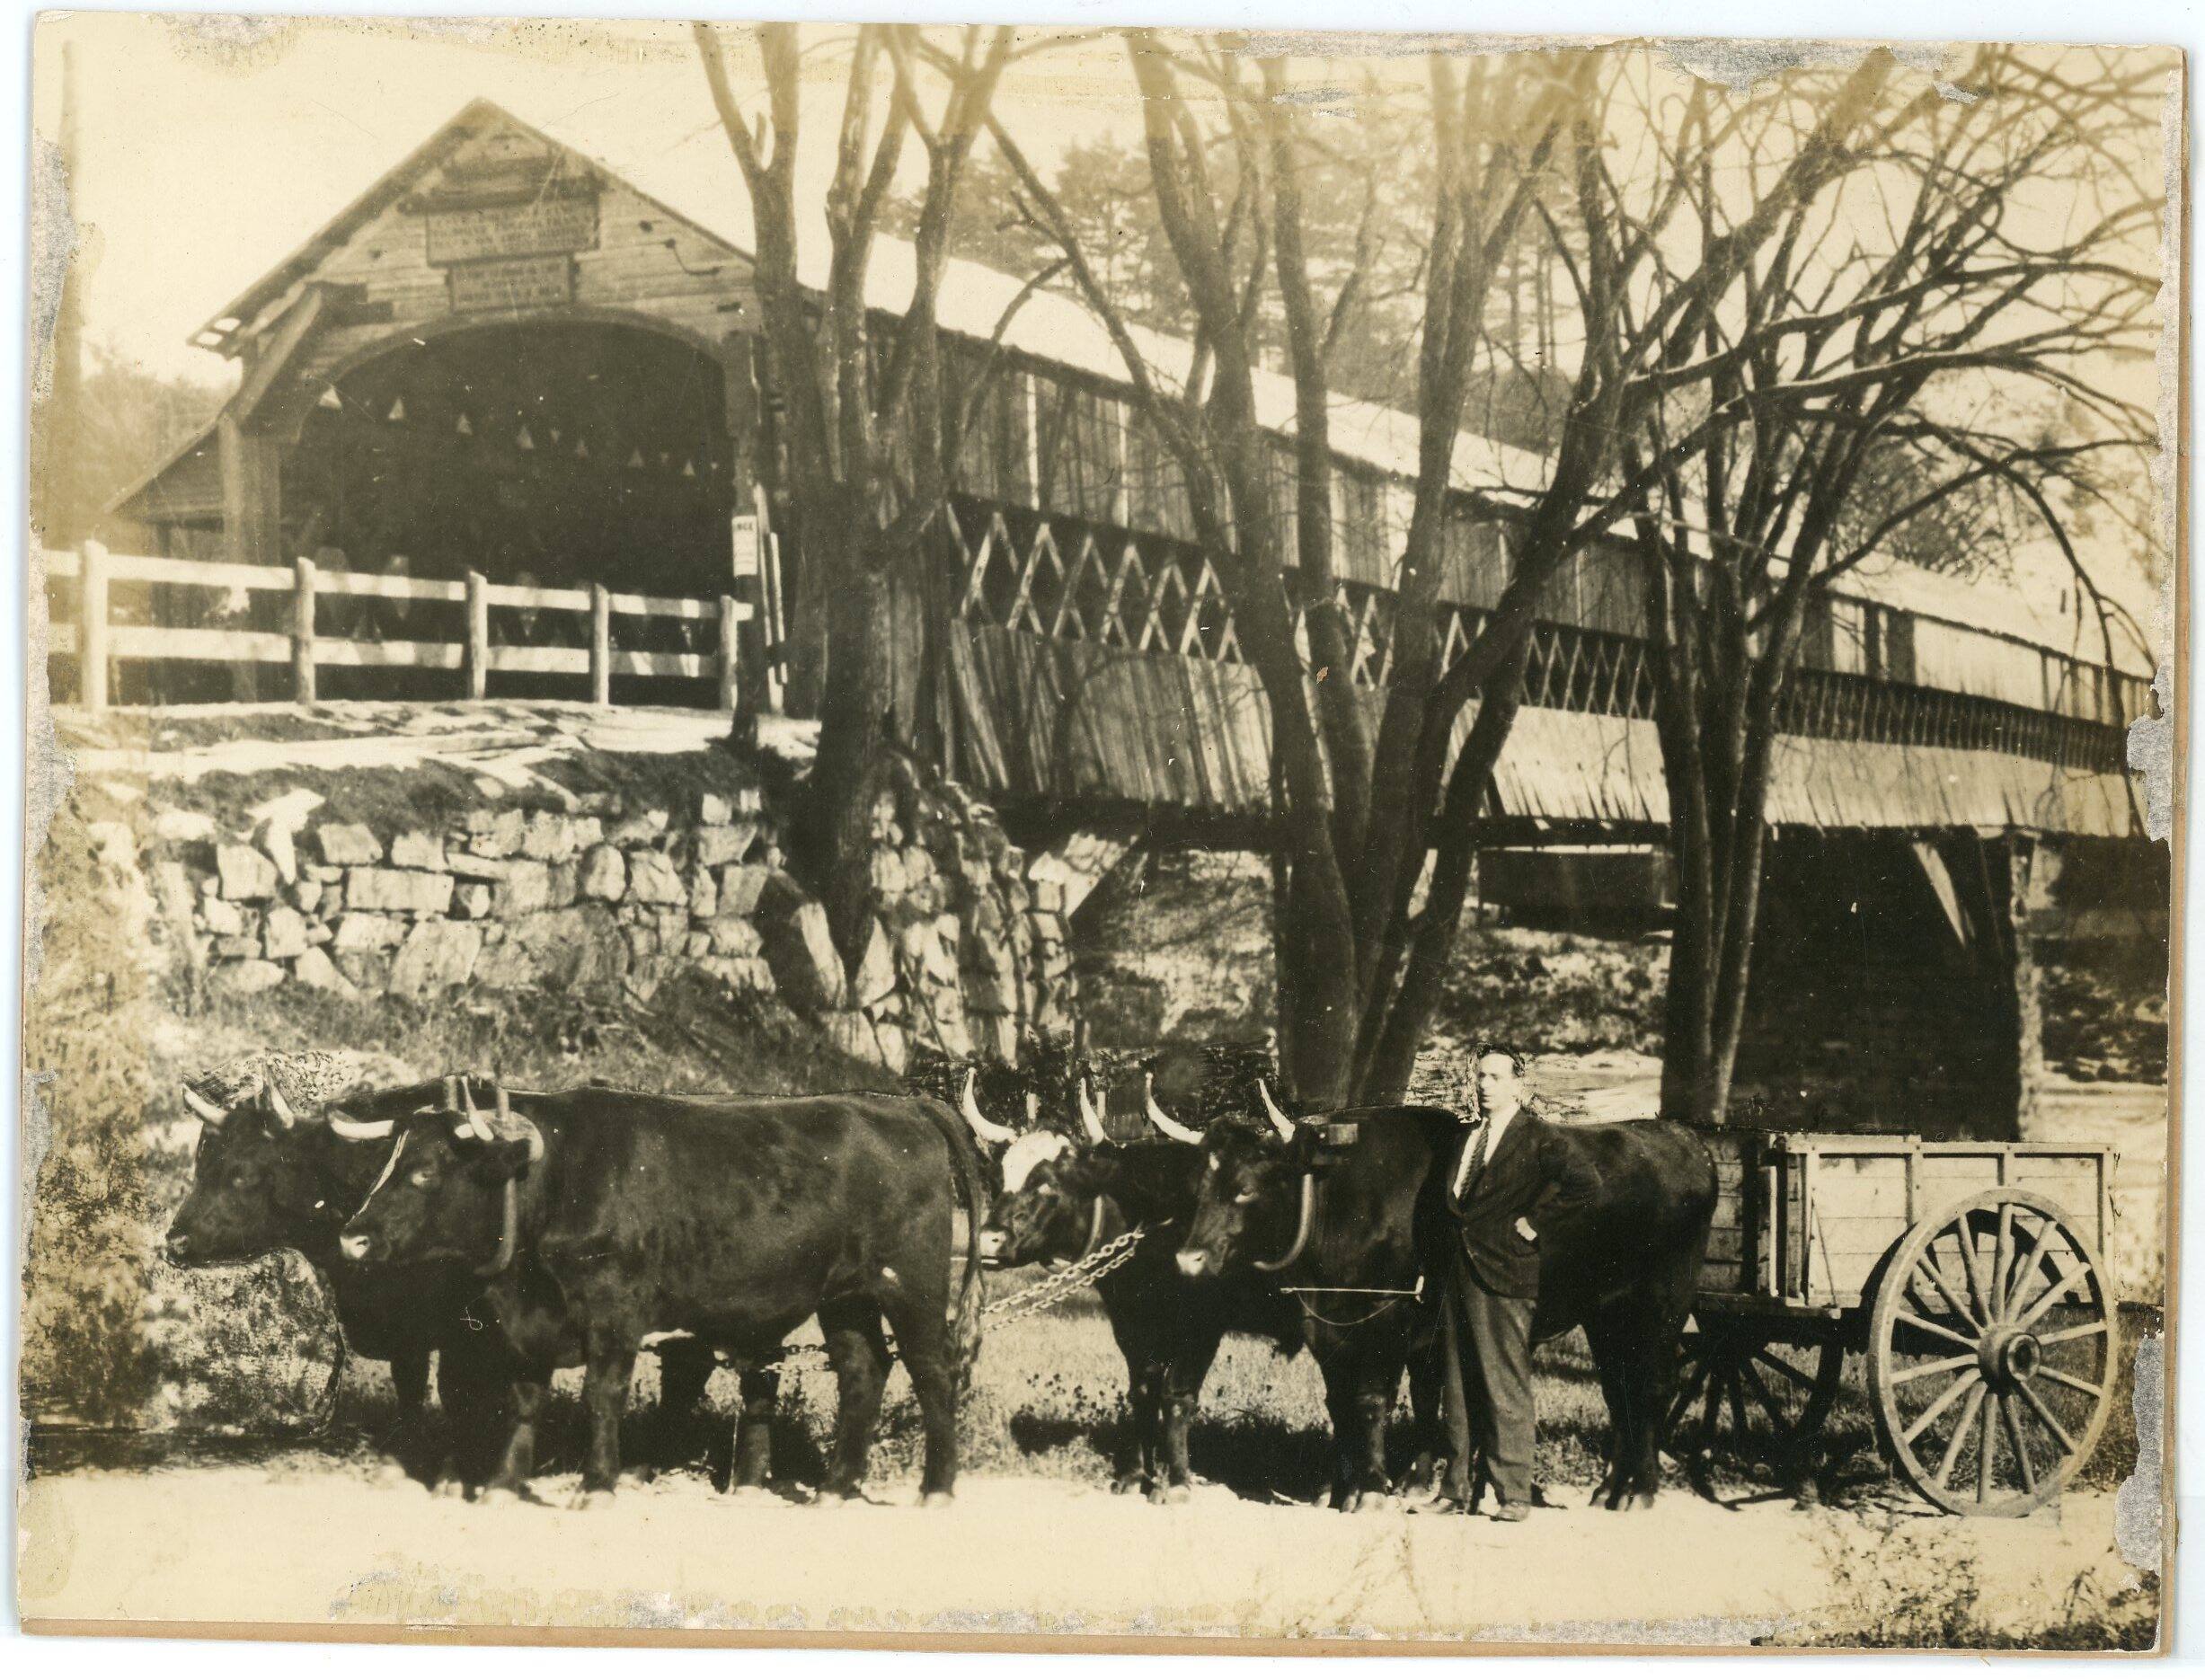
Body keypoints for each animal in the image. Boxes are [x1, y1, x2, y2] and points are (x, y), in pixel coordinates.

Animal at [336, 1077, 987, 1509]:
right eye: (384, 1166)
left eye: (425, 1172)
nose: (353, 1237)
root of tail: (900, 1104)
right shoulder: (530, 1324)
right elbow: (524, 1399)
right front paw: (501, 1485)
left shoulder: (614, 1313)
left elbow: (602, 1396)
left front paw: (597, 1486)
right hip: (845, 1296)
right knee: (863, 1372)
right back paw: (834, 1487)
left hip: (911, 1281)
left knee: (932, 1371)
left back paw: (937, 1488)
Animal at [1176, 1085, 1717, 1511]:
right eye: (1199, 1186)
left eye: (1246, 1188)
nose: (1188, 1259)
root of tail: (1683, 1138)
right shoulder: (1331, 1326)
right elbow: (1356, 1402)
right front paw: (1344, 1488)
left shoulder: (1388, 1316)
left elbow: (1373, 1400)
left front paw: (1371, 1489)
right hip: (1607, 1313)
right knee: (1620, 1390)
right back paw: (1609, 1489)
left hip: (1664, 1305)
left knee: (1654, 1387)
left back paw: (1640, 1491)